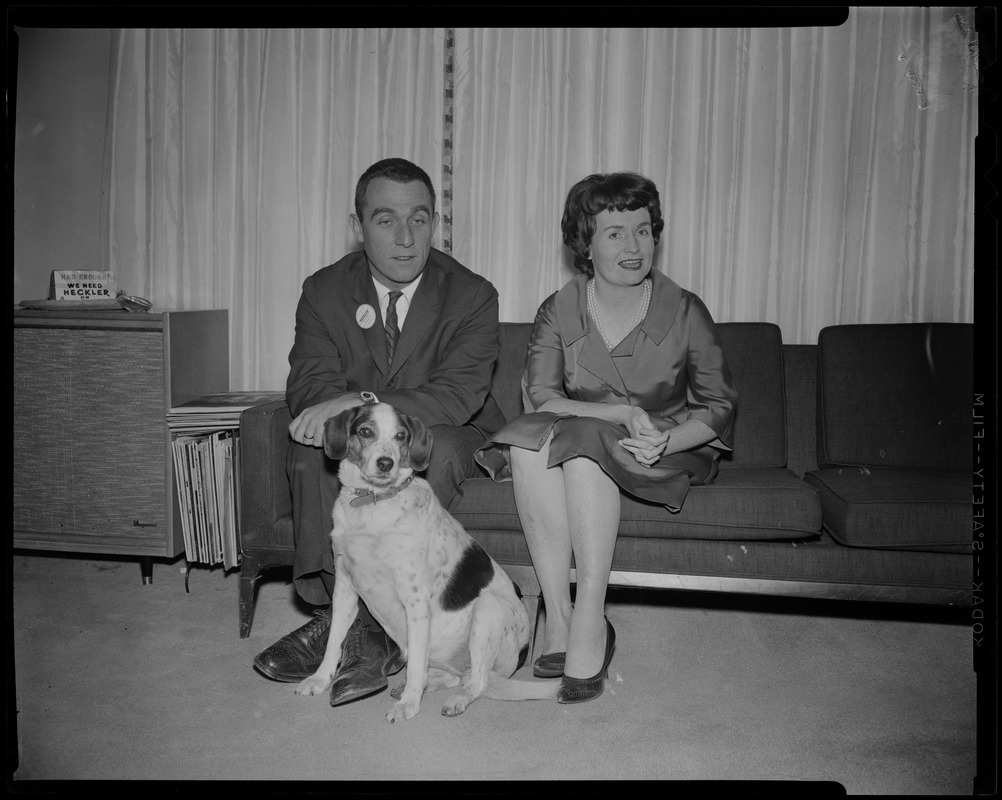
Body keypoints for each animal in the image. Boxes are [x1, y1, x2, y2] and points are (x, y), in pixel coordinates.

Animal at [292, 405, 557, 721]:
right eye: (365, 431)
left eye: (401, 436)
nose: (386, 463)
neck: (374, 504)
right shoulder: (344, 588)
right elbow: (334, 642)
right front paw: (320, 679)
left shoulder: (415, 601)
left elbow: (417, 665)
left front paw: (409, 704)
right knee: (453, 676)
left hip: (487, 609)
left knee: (475, 682)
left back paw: (453, 698)